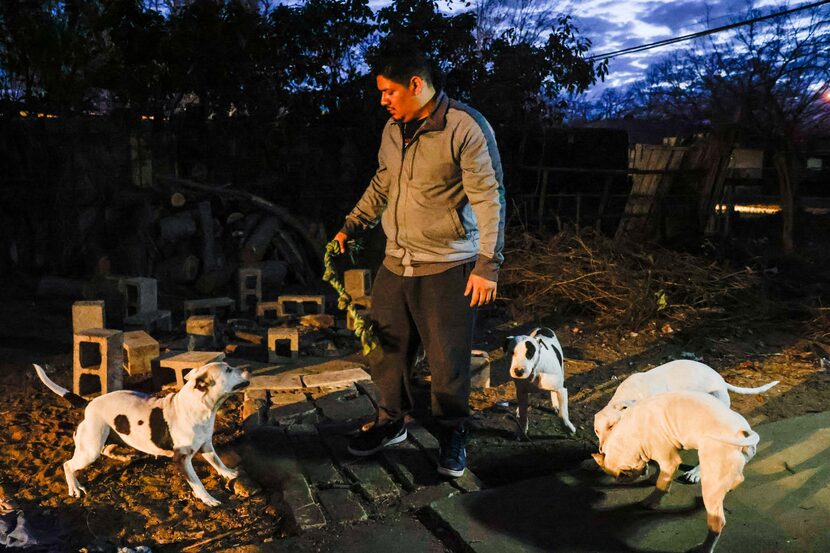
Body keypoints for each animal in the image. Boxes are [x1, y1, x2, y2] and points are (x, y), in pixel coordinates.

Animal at [35, 360, 250, 506]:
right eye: (228, 369)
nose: (248, 367)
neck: (201, 407)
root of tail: (88, 404)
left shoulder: (206, 444)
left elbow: (217, 461)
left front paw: (228, 473)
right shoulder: (182, 459)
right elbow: (197, 483)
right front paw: (208, 499)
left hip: (107, 437)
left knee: (107, 449)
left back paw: (123, 456)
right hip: (90, 450)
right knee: (68, 465)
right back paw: (75, 488)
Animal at [592, 390, 760, 552]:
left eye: (621, 473)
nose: (619, 478)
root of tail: (743, 432)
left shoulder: (669, 460)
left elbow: (661, 484)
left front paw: (650, 501)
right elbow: (659, 471)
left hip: (711, 484)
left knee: (717, 522)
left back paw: (704, 548)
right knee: (735, 480)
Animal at [596, 358, 776, 478]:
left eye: (612, 426)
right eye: (597, 431)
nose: (602, 451)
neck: (630, 397)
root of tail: (720, 378)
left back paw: (697, 473)